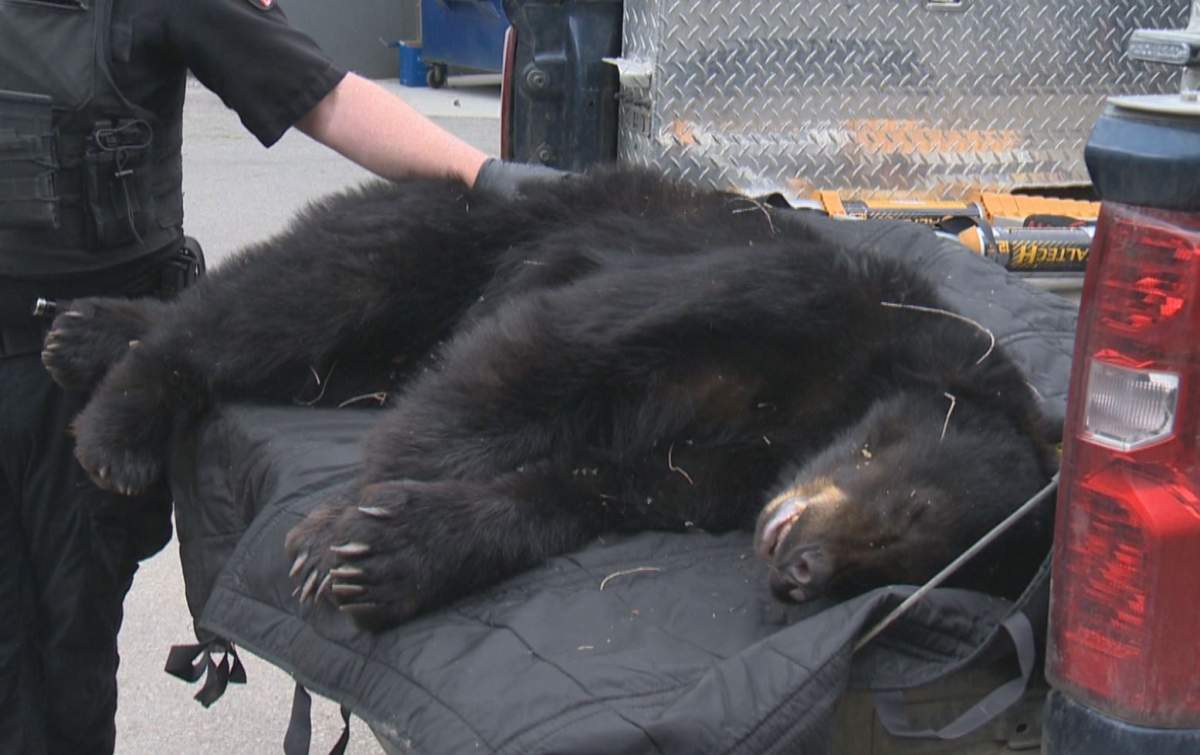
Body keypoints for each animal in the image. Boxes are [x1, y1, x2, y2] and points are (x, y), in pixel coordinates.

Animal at [42, 168, 1057, 632]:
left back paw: (89, 327)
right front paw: (339, 530)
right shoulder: (778, 296)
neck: (829, 404)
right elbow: (543, 349)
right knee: (296, 295)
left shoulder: (738, 469)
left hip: (380, 346)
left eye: (900, 572)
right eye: (910, 509)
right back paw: (119, 414)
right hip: (444, 237)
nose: (802, 568)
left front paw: (398, 549)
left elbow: (600, 484)